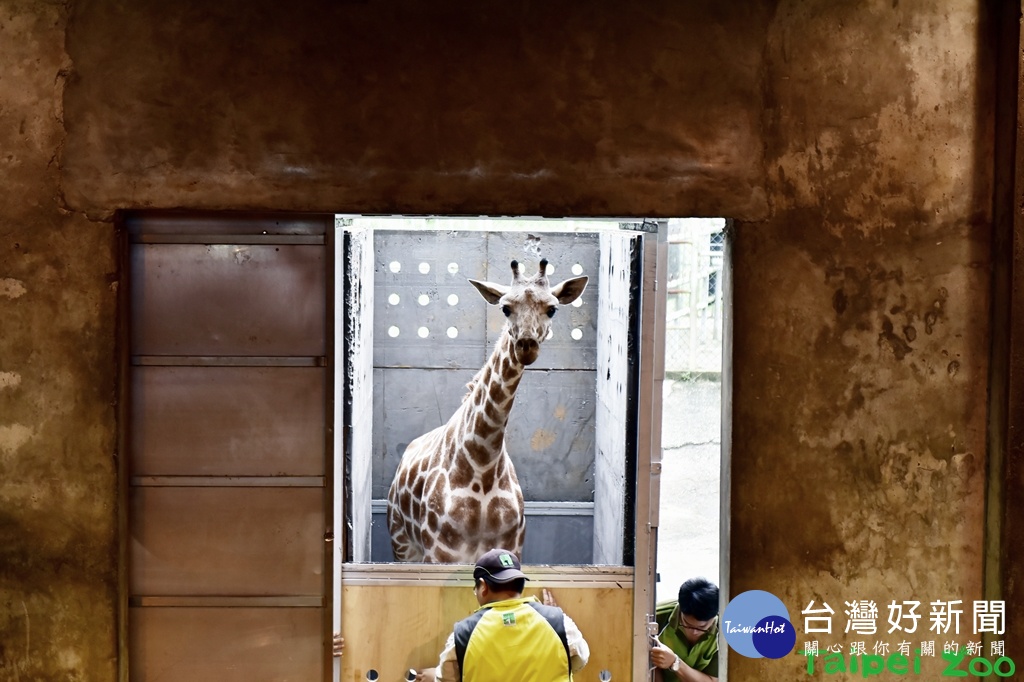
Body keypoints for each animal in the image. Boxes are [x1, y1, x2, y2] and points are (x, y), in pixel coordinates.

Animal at [385, 258, 593, 561]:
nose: (526, 346)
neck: (483, 464)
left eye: (552, 309)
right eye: (506, 308)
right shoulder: (439, 553)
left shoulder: (512, 548)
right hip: (402, 544)